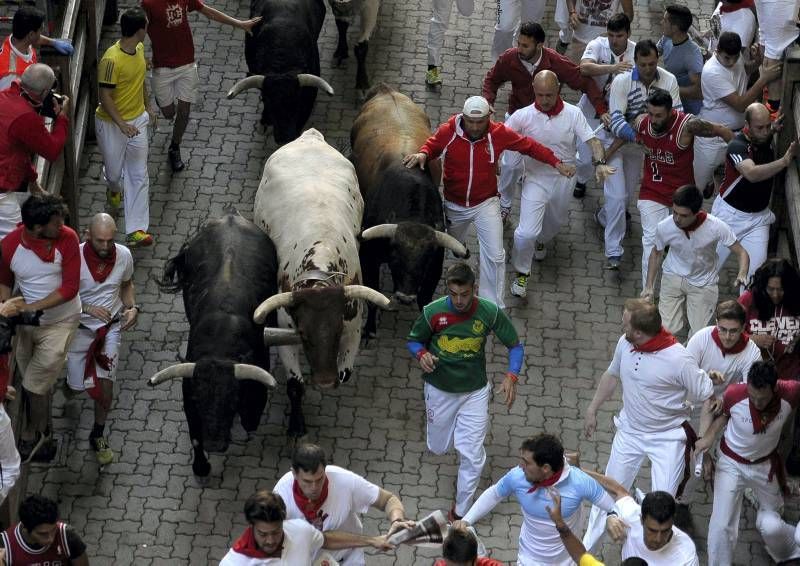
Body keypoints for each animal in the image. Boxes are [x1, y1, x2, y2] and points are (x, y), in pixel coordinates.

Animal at [155, 215, 278, 478]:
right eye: (200, 401)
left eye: (232, 400)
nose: (215, 444)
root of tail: (231, 217)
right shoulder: (189, 391)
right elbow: (195, 436)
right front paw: (201, 467)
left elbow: (251, 417)